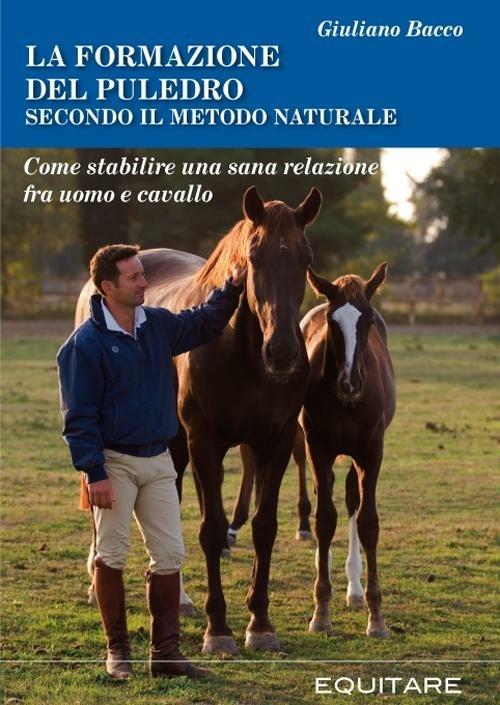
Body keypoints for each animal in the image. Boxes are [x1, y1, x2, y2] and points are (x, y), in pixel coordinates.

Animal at [300, 263, 396, 638]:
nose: (350, 383)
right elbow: (324, 519)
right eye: (332, 321)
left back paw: (354, 591)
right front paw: (320, 611)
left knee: (354, 500)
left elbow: (368, 521)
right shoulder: (317, 447)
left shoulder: (371, 451)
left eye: (366, 320)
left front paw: (376, 616)